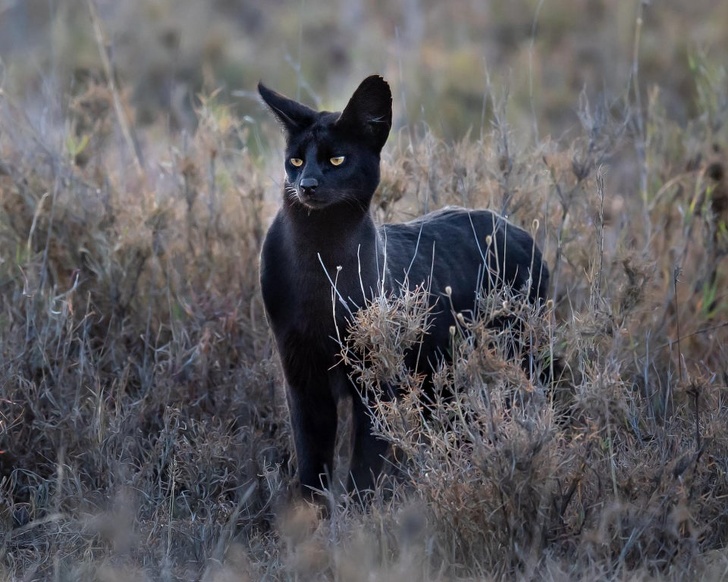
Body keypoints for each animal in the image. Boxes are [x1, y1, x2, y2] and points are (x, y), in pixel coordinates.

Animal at [258, 76, 548, 506]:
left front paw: (359, 517)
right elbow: (312, 461)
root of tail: (519, 230)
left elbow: (365, 462)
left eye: (337, 160)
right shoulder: (301, 375)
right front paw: (308, 517)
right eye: (295, 161)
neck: (319, 256)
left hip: (520, 355)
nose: (306, 184)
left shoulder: (375, 381)